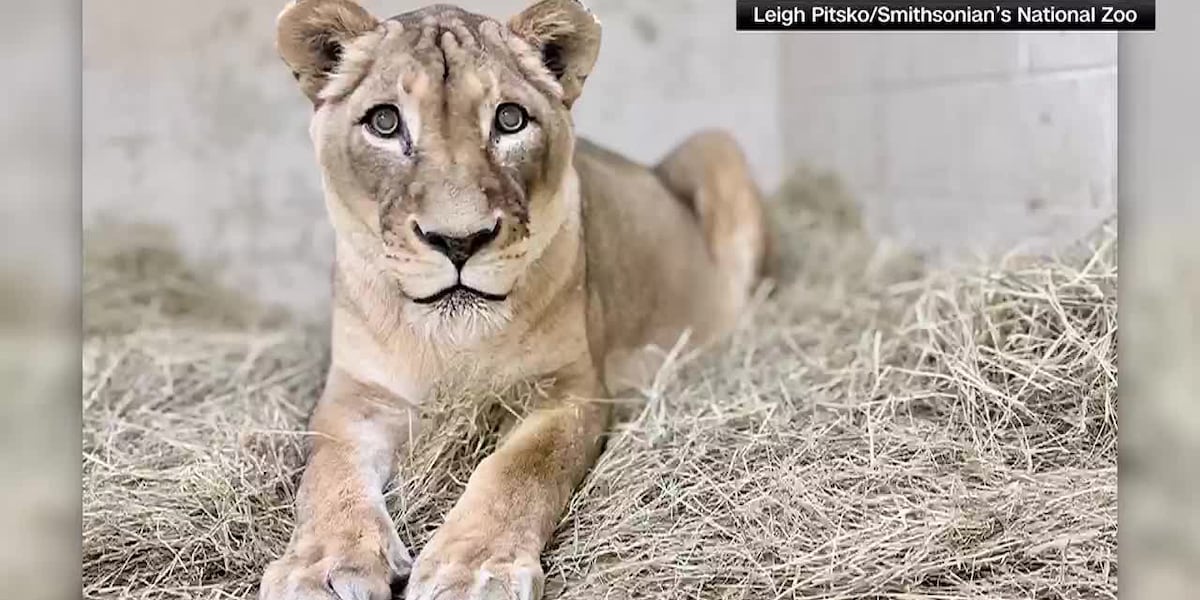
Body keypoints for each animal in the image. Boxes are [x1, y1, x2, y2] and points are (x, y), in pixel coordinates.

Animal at [260, 1, 772, 599]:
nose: (459, 240)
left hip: (715, 146)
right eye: (385, 123)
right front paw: (322, 566)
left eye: (509, 120)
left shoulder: (569, 390)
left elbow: (520, 468)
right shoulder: (356, 393)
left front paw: (472, 568)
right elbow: (327, 470)